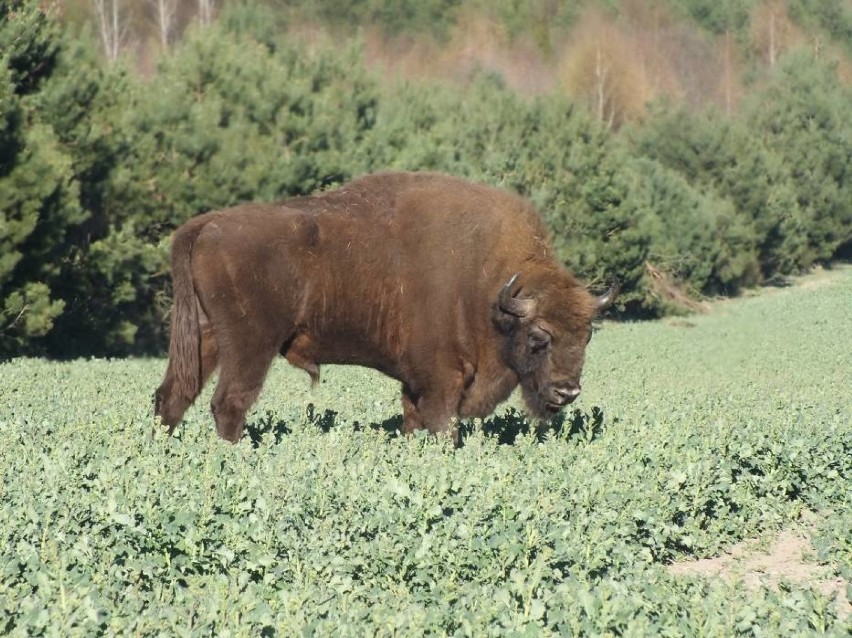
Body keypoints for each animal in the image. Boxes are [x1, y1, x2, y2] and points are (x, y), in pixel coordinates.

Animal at [155, 172, 620, 448]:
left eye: (587, 335)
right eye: (539, 336)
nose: (567, 392)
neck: (488, 285)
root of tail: (208, 224)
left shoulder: (415, 386)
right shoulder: (442, 383)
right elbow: (443, 427)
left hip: (204, 337)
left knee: (174, 395)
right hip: (250, 345)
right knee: (229, 402)